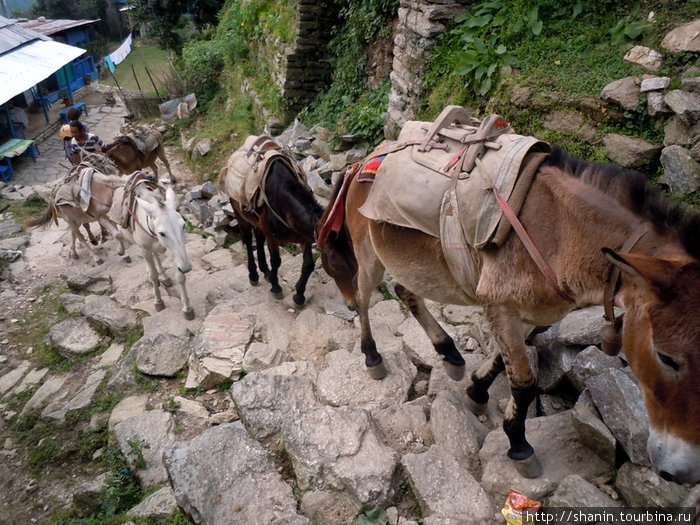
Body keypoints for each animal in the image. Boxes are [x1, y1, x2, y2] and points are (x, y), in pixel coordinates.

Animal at [111, 174, 194, 318]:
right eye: (162, 233)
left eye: (183, 225)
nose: (187, 268)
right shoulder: (145, 249)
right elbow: (154, 276)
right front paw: (158, 301)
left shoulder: (175, 250)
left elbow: (180, 277)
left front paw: (187, 308)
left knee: (156, 257)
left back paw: (165, 276)